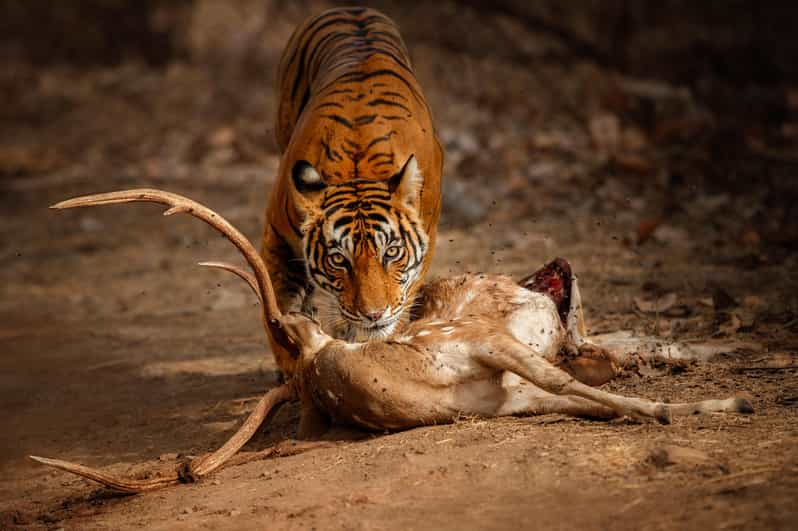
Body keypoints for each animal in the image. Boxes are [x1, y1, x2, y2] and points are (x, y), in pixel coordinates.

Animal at [32, 190, 756, 494]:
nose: (556, 260)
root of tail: (313, 369)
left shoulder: (510, 386)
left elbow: (588, 391)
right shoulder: (489, 348)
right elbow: (586, 386)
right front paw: (721, 405)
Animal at [260, 6, 444, 376]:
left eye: (392, 252)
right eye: (337, 260)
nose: (373, 315)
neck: (358, 168)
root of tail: (351, 8)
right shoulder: (277, 232)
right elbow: (279, 300)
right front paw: (293, 355)